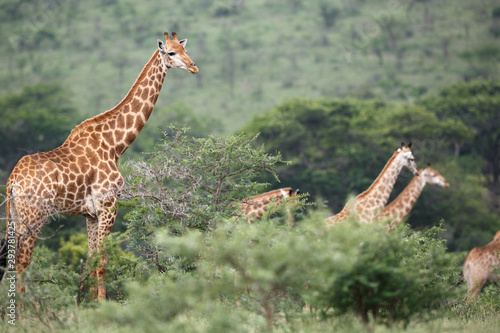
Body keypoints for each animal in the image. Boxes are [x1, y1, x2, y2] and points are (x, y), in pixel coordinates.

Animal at [0, 32, 198, 300]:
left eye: (184, 49)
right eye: (171, 52)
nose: (194, 67)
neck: (115, 145)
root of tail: (12, 182)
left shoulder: (90, 213)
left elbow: (92, 259)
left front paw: (88, 303)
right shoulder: (108, 205)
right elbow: (103, 261)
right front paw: (103, 305)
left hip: (16, 216)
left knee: (13, 261)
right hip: (35, 214)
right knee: (23, 260)